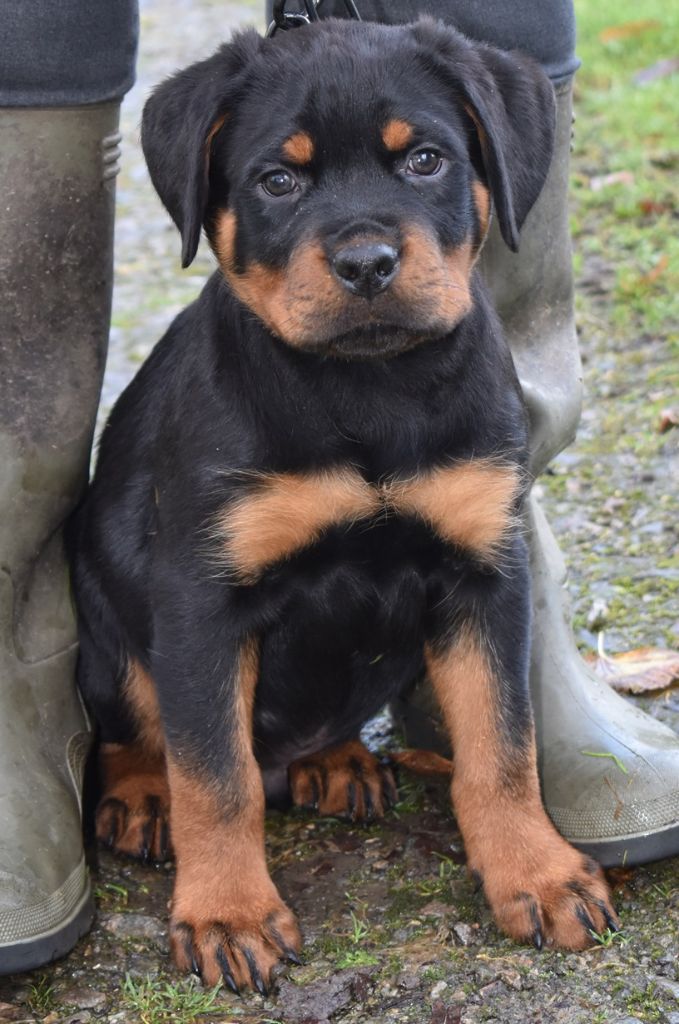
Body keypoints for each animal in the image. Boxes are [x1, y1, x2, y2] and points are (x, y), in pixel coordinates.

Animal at [70, 14, 622, 991]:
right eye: (278, 180)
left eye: (426, 160)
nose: (366, 263)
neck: (369, 391)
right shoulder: (201, 600)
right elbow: (215, 775)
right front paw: (227, 914)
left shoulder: (486, 574)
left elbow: (502, 747)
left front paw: (537, 873)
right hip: (107, 617)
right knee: (139, 731)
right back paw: (142, 798)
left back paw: (336, 760)